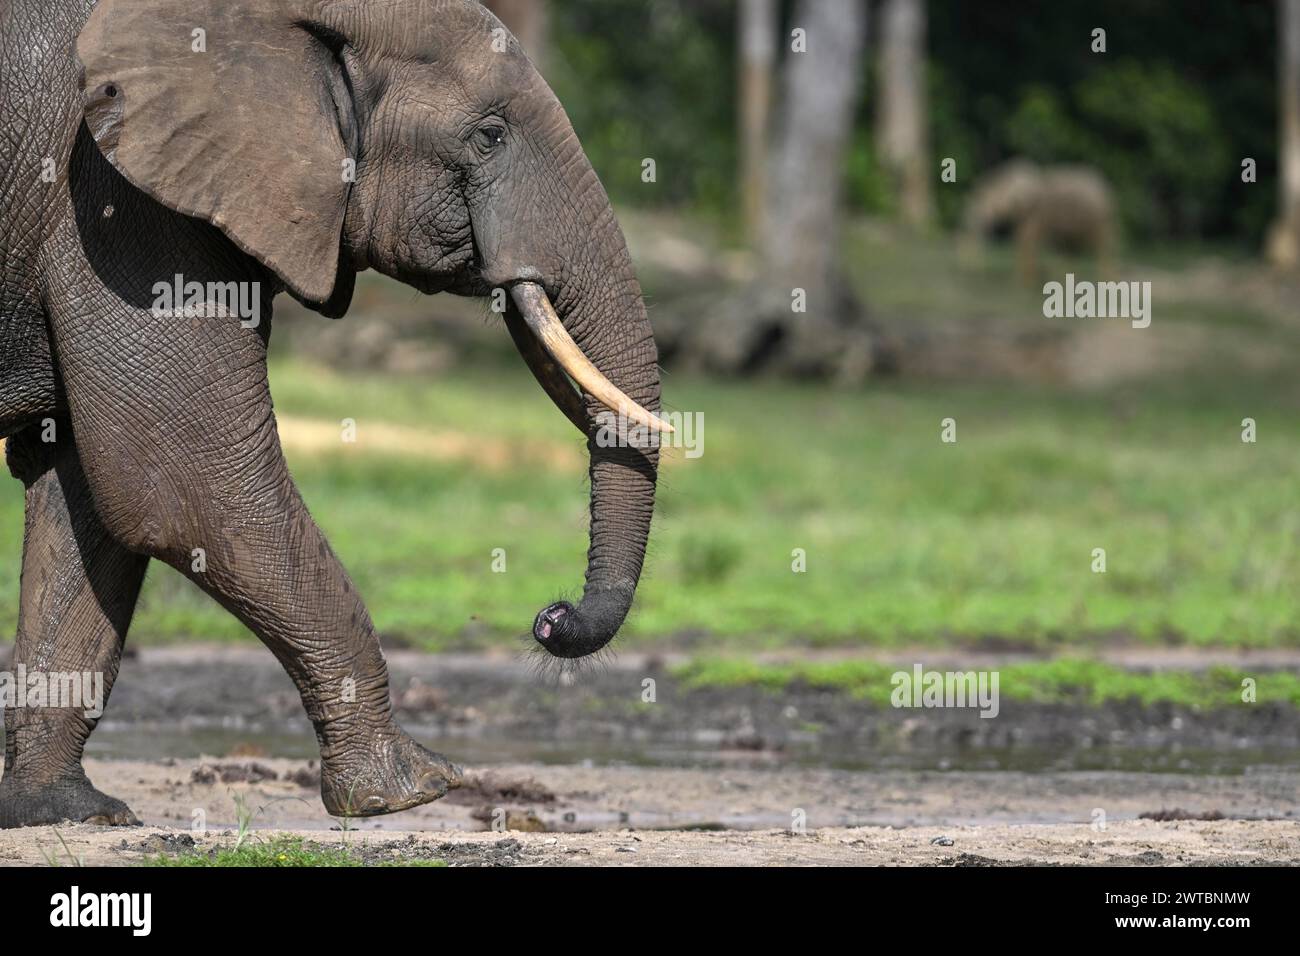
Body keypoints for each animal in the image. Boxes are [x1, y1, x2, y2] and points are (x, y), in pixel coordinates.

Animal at [0, 0, 670, 832]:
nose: (551, 617)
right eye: (489, 135)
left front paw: (68, 813)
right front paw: (411, 788)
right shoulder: (115, 207)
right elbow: (182, 485)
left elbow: (91, 497)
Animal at [956, 158, 1118, 286]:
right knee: (1074, 251)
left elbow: (1028, 242)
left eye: (979, 203)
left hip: (1102, 219)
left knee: (1104, 248)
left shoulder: (1036, 214)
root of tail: (1108, 189)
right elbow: (1022, 242)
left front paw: (1026, 282)